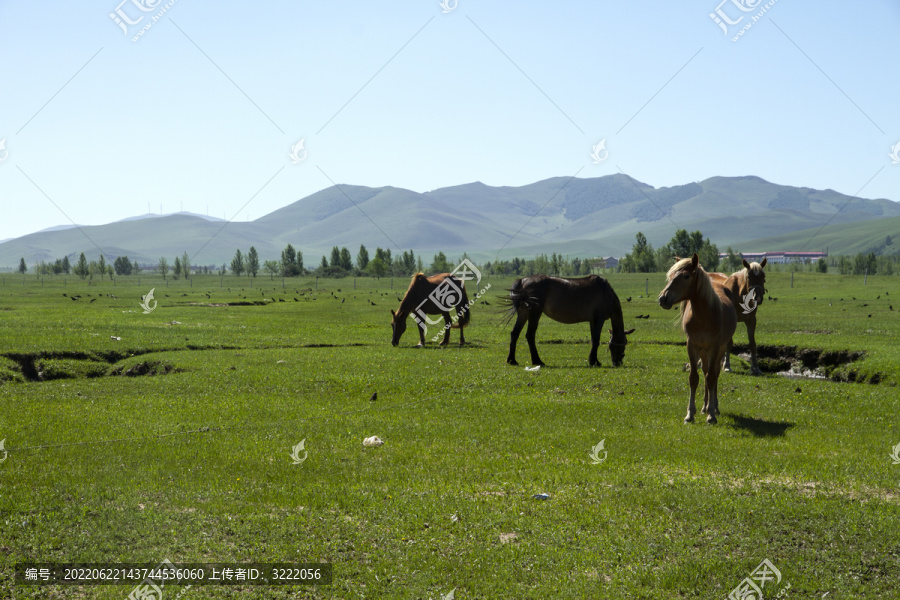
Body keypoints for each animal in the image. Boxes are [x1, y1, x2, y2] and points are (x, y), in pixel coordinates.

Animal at [656, 255, 736, 424]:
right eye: (671, 276)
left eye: (686, 276)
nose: (663, 298)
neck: (703, 316)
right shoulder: (691, 346)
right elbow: (694, 378)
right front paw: (690, 414)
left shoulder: (714, 347)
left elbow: (711, 378)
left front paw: (711, 415)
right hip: (703, 352)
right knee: (705, 372)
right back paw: (705, 406)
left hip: (718, 349)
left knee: (714, 373)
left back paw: (714, 407)